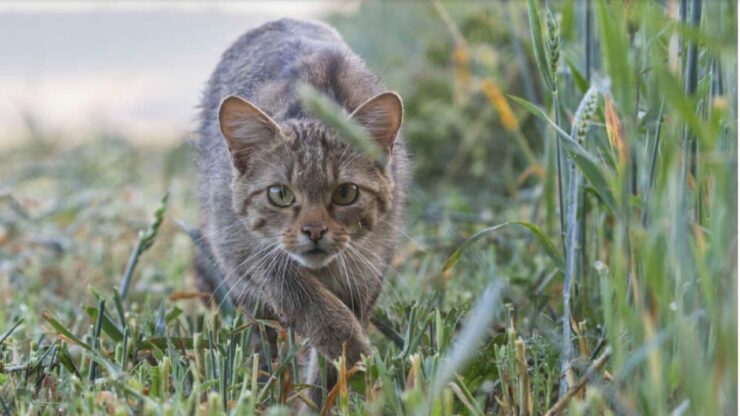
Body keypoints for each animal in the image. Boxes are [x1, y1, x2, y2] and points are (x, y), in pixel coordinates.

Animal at [194, 17, 410, 404]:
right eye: (280, 194)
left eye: (345, 193)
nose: (314, 231)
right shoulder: (247, 253)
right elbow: (310, 304)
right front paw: (355, 352)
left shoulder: (367, 274)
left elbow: (329, 363)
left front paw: (338, 388)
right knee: (263, 339)